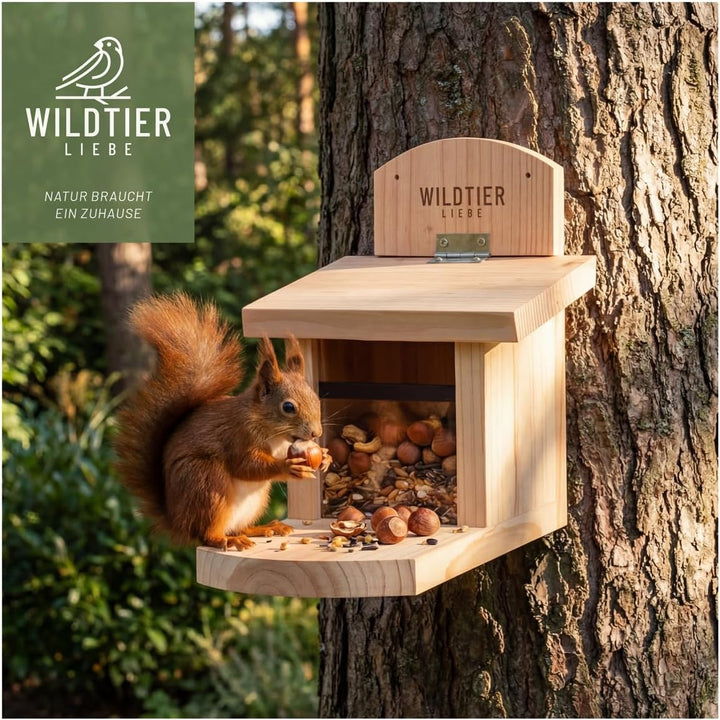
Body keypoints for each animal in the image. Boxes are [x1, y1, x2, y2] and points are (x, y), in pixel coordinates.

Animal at [114, 292, 329, 551]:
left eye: (315, 397)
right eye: (288, 407)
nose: (316, 433)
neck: (274, 433)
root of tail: (177, 521)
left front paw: (325, 456)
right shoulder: (237, 435)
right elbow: (246, 465)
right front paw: (288, 467)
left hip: (254, 500)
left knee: (238, 526)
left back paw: (265, 528)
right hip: (206, 482)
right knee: (207, 534)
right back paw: (227, 539)